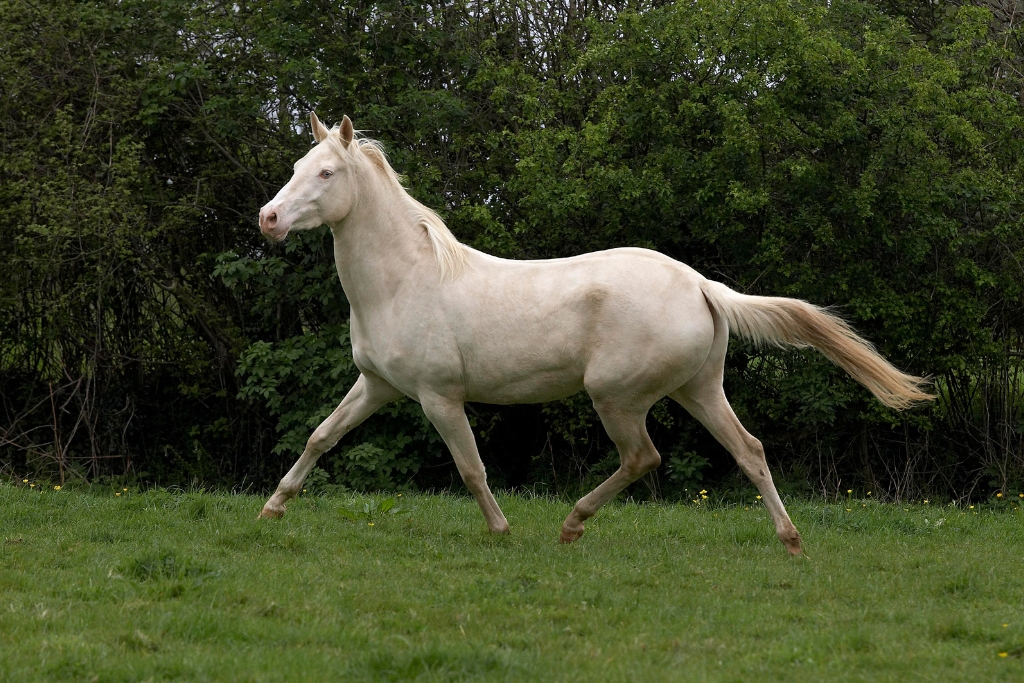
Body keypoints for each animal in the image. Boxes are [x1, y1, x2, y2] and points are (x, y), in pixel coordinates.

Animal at [253, 113, 929, 557]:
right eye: (296, 167)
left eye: (327, 173)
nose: (269, 218)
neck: (403, 281)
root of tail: (700, 284)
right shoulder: (377, 385)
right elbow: (320, 438)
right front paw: (271, 509)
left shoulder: (439, 397)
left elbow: (471, 469)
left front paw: (501, 532)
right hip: (698, 390)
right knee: (750, 450)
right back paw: (789, 541)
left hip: (617, 397)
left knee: (643, 457)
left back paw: (572, 525)